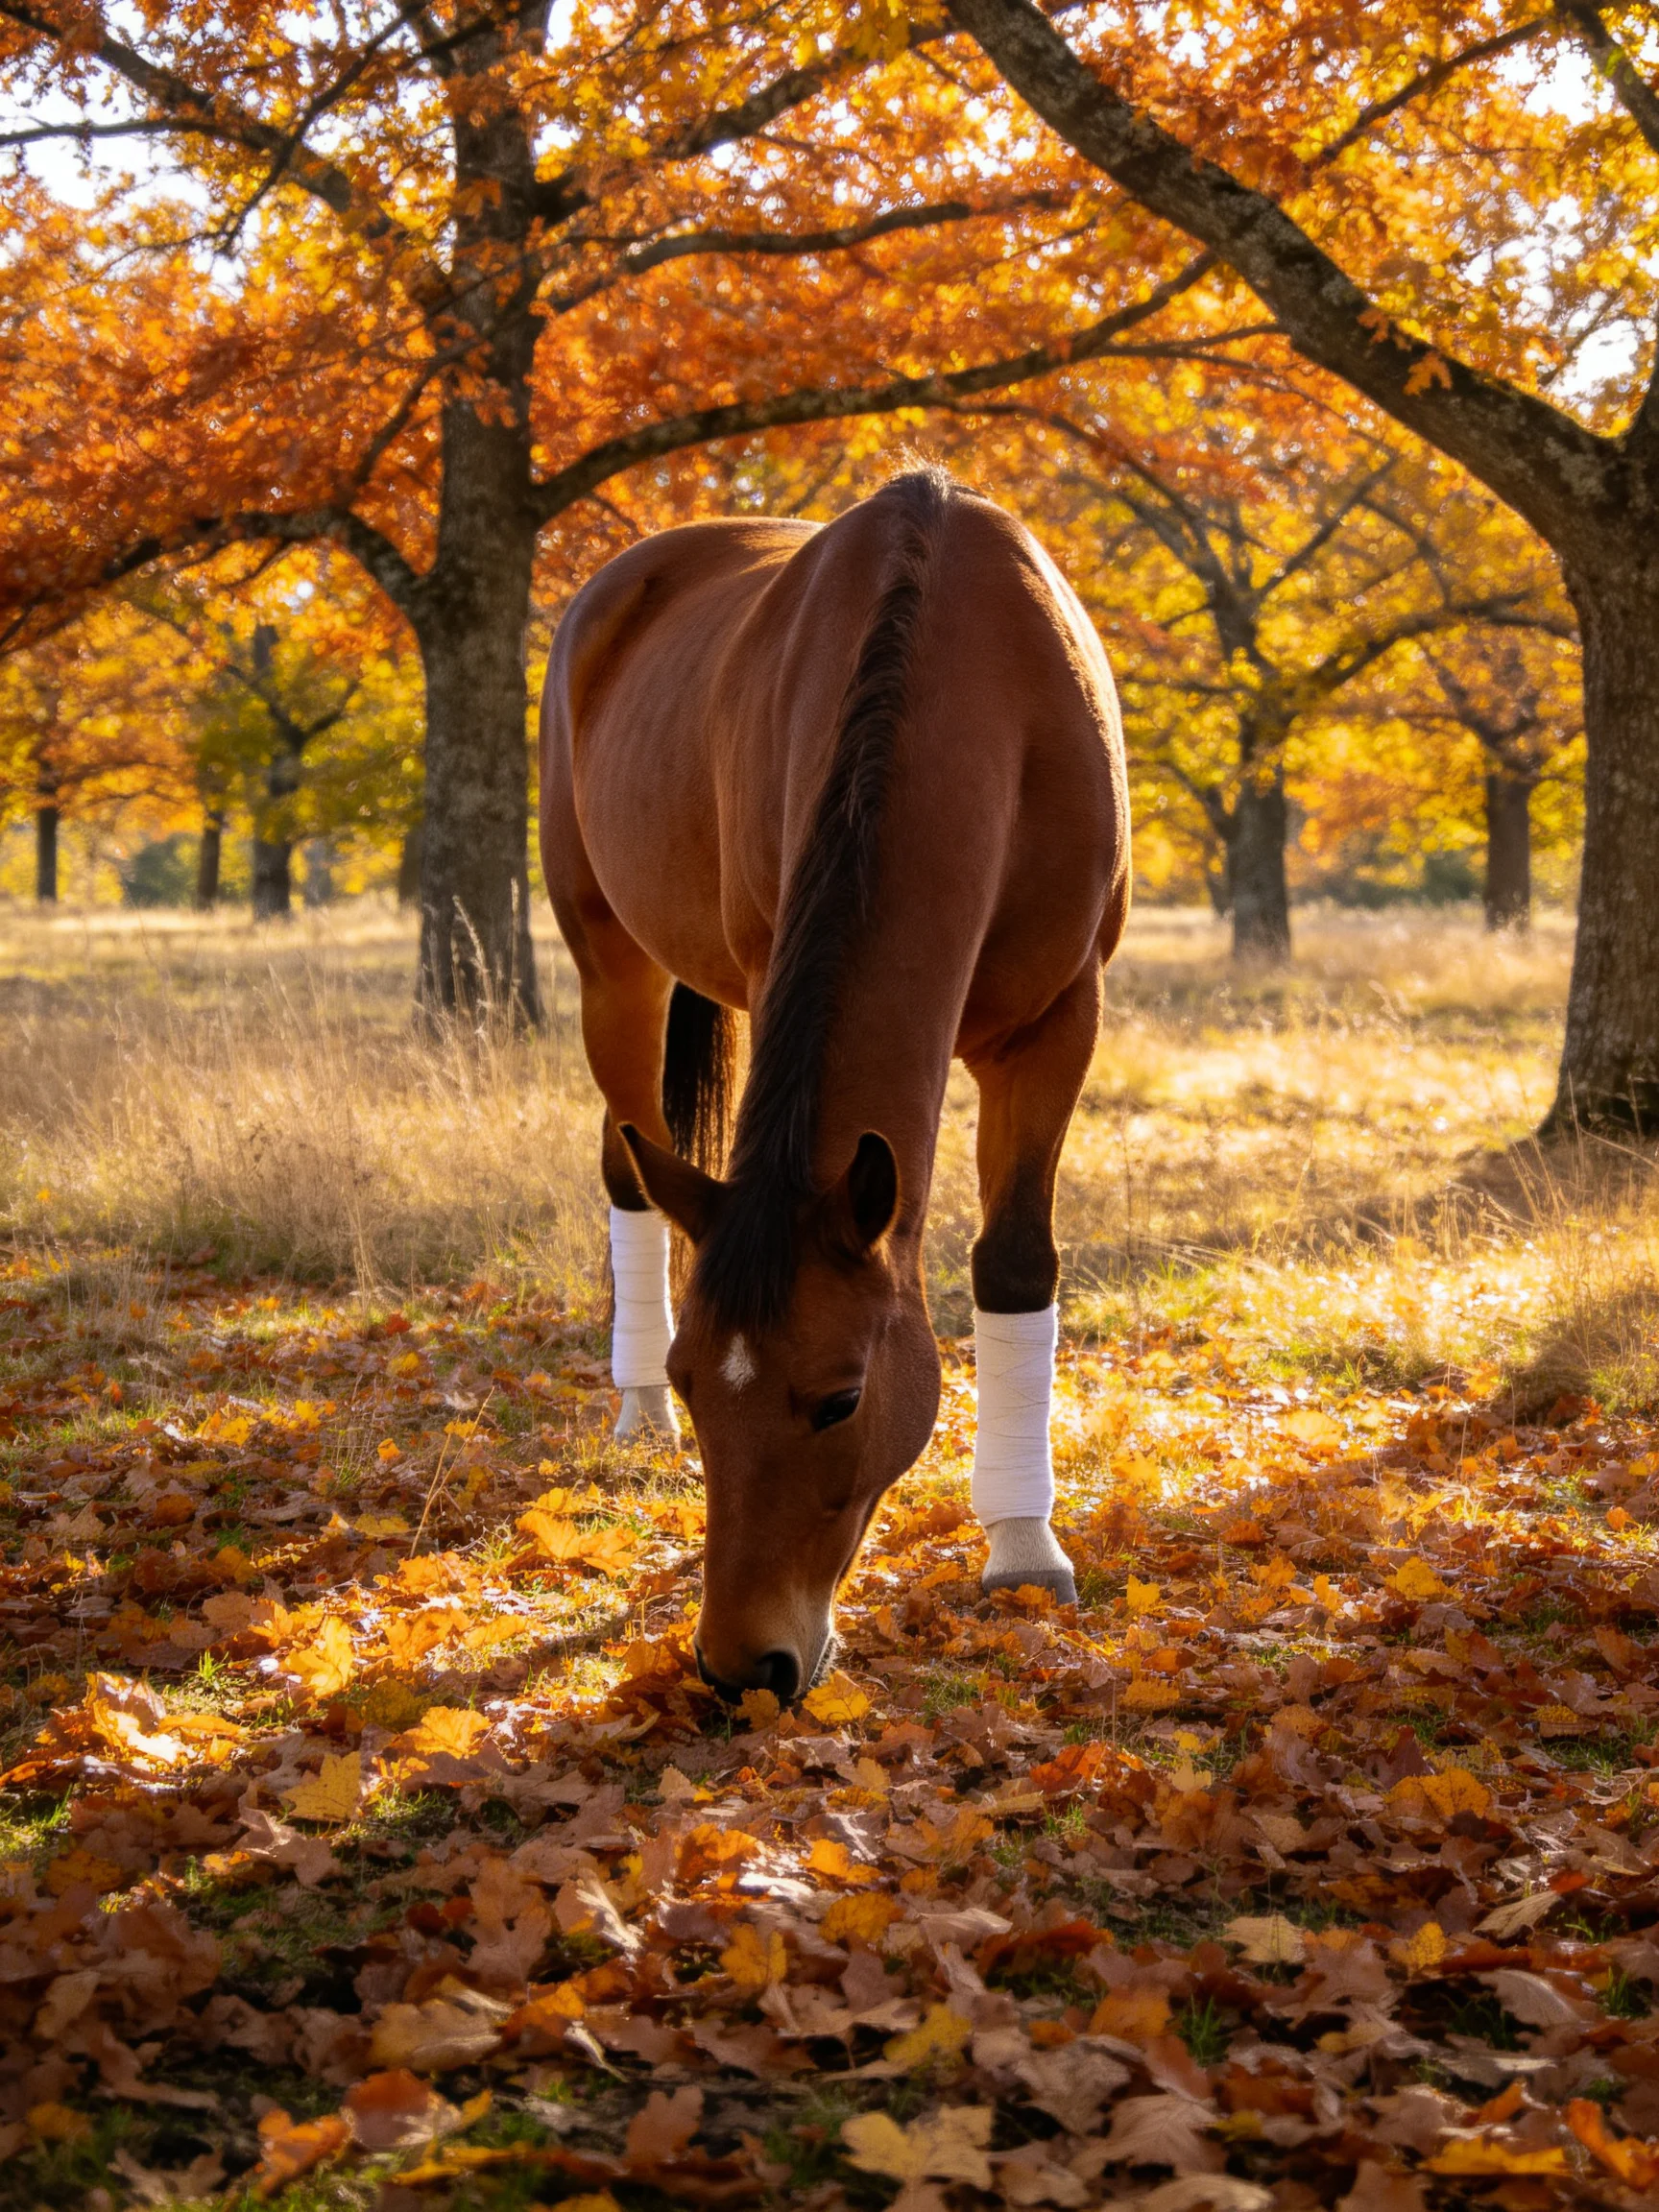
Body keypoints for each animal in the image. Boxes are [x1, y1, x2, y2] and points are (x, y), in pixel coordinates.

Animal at [539, 467, 1128, 1701]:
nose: (741, 1669)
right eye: (697, 1381)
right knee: (624, 1162)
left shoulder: (1059, 1023)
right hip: (611, 964)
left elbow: (1015, 1262)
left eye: (841, 1399)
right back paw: (629, 1412)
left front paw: (1023, 1545)